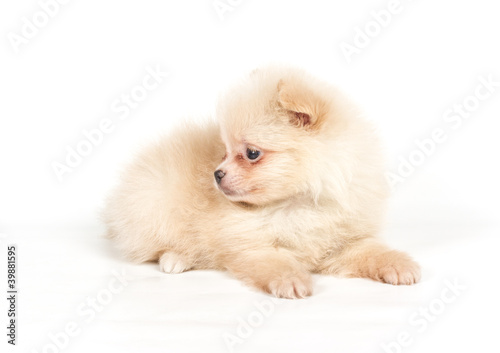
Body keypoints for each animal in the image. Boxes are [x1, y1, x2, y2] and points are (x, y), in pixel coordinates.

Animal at [102, 65, 422, 296]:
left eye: (251, 153)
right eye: (224, 152)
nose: (216, 173)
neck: (298, 203)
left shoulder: (343, 241)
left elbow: (371, 250)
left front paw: (398, 264)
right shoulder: (251, 245)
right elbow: (275, 262)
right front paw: (291, 280)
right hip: (154, 201)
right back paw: (176, 258)